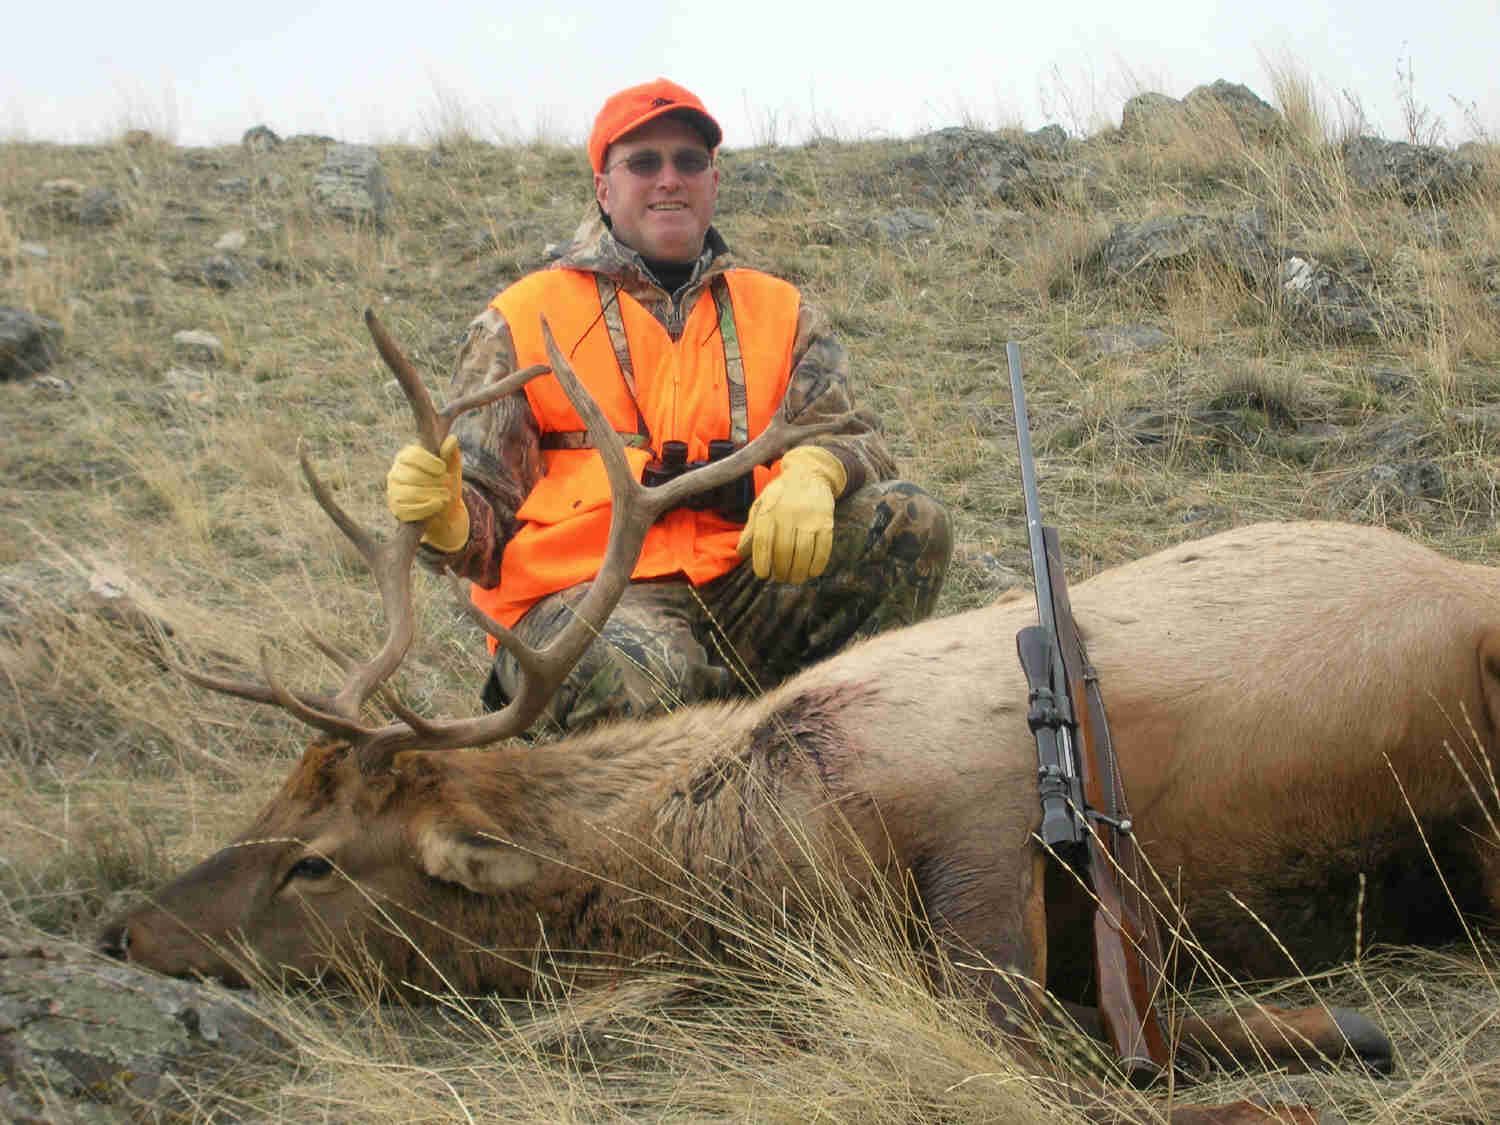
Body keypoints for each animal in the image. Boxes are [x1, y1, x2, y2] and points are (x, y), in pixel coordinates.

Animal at [101, 312, 1500, 1124]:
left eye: (317, 862)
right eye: (273, 798)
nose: (126, 928)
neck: (744, 844)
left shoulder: (982, 811)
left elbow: (1041, 1042)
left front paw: (1311, 1048)